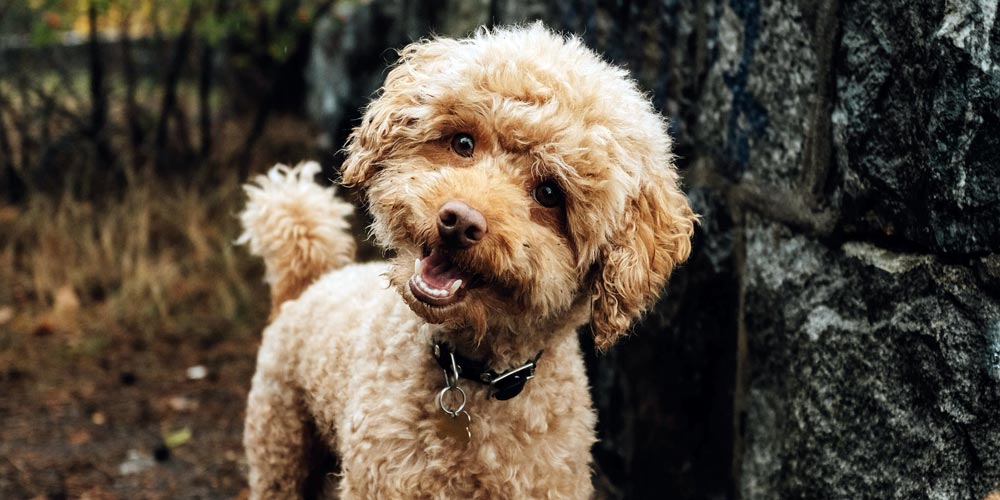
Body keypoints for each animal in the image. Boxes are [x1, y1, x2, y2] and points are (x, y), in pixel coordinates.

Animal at [240, 24, 696, 500]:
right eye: (463, 143)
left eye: (550, 193)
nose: (459, 222)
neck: (471, 375)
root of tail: (309, 283)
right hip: (280, 444)